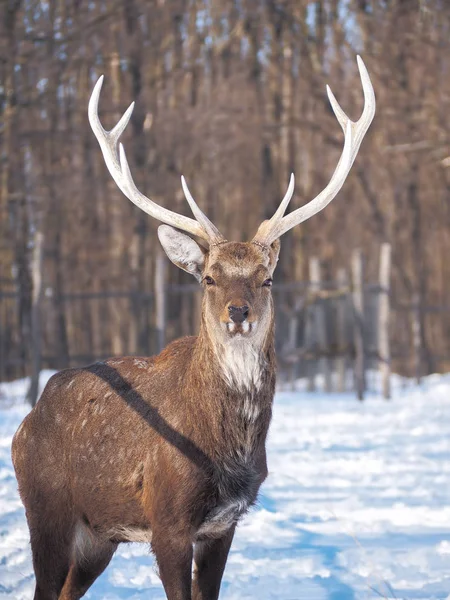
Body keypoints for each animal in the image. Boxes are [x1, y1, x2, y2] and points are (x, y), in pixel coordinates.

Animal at [11, 57, 376, 600]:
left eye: (267, 278)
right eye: (208, 277)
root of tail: (24, 425)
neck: (228, 450)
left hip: (98, 537)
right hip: (47, 510)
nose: (238, 312)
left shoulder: (224, 525)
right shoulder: (167, 522)